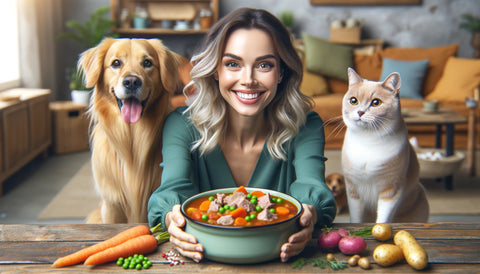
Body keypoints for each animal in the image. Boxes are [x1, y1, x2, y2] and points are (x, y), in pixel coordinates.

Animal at [342, 68, 432, 223]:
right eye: (353, 100)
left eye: (376, 102)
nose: (360, 112)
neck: (367, 141)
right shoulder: (353, 189)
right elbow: (356, 217)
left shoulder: (391, 190)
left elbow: (383, 218)